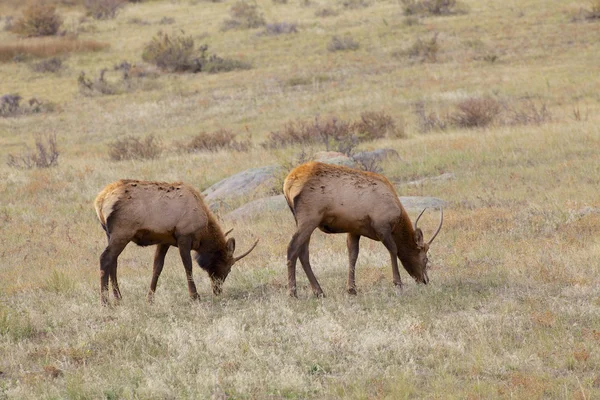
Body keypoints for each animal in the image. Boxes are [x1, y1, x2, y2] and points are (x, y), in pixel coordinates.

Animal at [95, 180, 258, 304]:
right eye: (228, 268)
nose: (218, 290)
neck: (203, 233)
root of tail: (99, 202)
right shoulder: (184, 237)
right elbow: (188, 267)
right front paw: (194, 296)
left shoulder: (164, 241)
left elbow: (157, 268)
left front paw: (150, 298)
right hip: (122, 233)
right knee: (105, 258)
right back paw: (105, 302)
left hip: (110, 235)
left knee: (113, 262)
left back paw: (119, 298)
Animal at [284, 162, 442, 296]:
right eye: (425, 259)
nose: (425, 280)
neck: (397, 219)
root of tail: (287, 185)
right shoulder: (382, 227)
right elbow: (394, 250)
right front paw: (398, 283)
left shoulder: (354, 230)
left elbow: (353, 255)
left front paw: (351, 289)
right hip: (309, 218)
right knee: (292, 247)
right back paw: (293, 293)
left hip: (303, 221)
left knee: (303, 252)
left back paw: (319, 291)